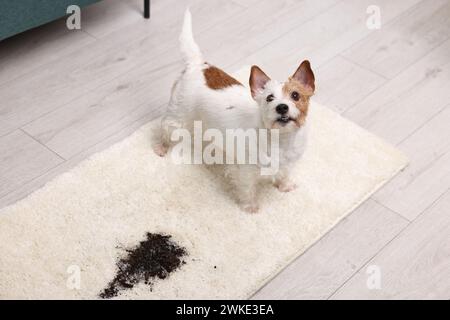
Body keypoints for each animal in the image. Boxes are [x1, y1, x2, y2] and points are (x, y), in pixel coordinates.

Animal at [153, 10, 314, 214]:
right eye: (269, 98)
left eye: (295, 95)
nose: (282, 107)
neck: (280, 139)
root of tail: (198, 64)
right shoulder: (246, 171)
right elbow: (247, 188)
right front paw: (250, 207)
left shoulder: (288, 163)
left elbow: (284, 174)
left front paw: (284, 186)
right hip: (178, 117)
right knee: (166, 129)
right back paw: (161, 147)